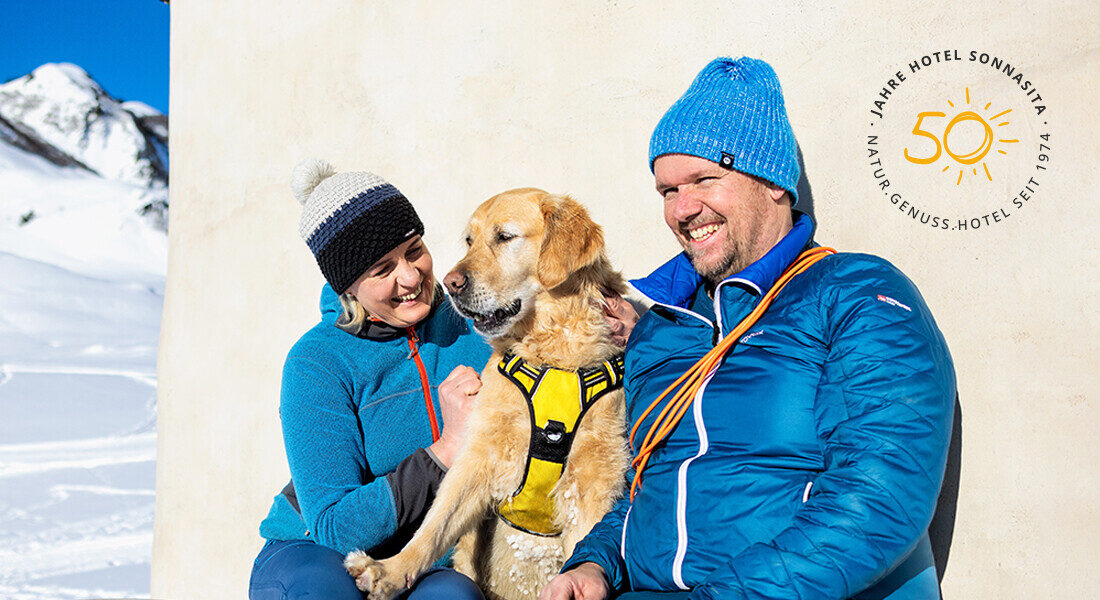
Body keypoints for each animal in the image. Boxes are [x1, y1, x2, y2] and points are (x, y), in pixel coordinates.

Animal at [347, 188, 633, 598]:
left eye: (505, 237)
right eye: (470, 240)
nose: (451, 282)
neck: (551, 353)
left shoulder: (592, 477)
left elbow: (584, 546)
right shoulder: (481, 453)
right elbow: (434, 526)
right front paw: (390, 570)